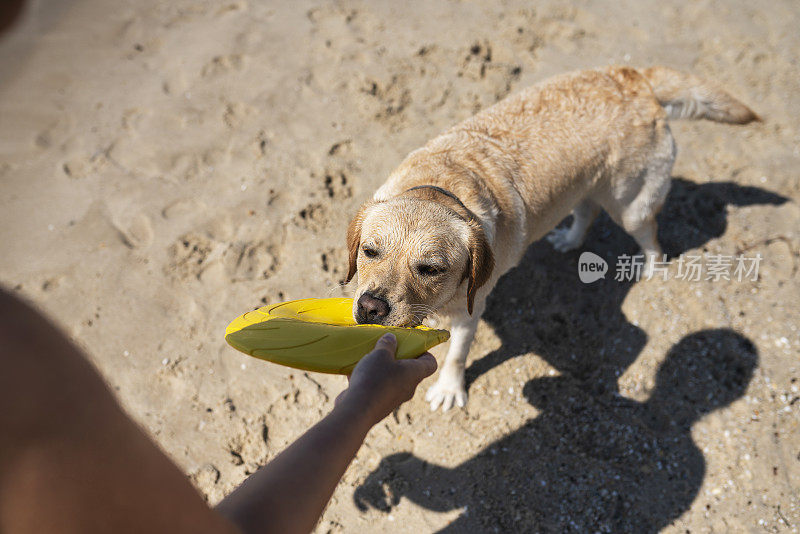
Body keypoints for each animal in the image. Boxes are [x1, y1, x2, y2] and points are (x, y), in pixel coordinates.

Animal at [344, 65, 756, 412]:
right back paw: (569, 240)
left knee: (652, 238)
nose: (371, 308)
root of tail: (634, 76)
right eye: (370, 251)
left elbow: (457, 355)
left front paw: (449, 389)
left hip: (633, 205)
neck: (441, 186)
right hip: (583, 186)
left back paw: (651, 269)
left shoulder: (468, 313)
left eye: (431, 269)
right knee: (587, 212)